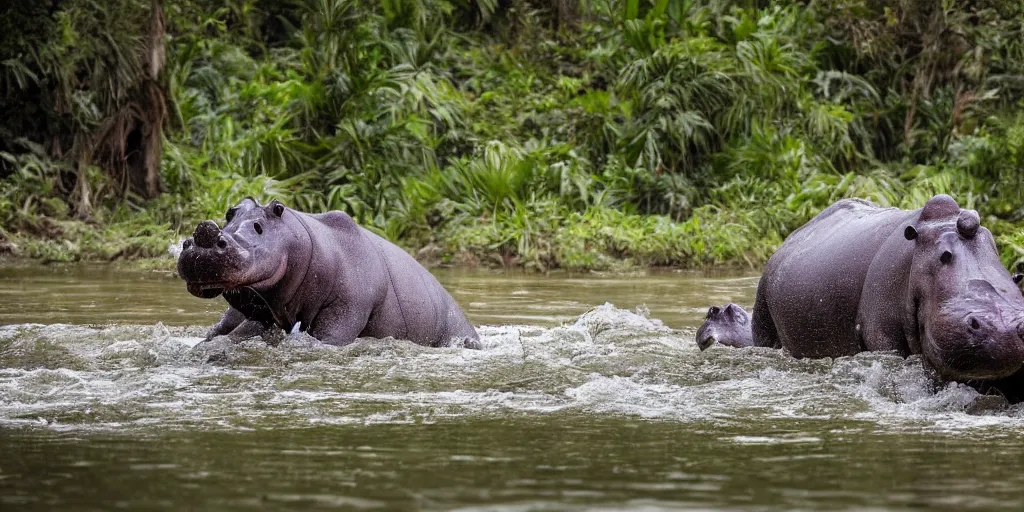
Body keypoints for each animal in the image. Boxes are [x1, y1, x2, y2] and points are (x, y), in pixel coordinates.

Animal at [753, 192, 1024, 385]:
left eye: (995, 253)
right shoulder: (882, 333)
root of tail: (787, 241)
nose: (1004, 330)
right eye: (943, 256)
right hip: (762, 313)